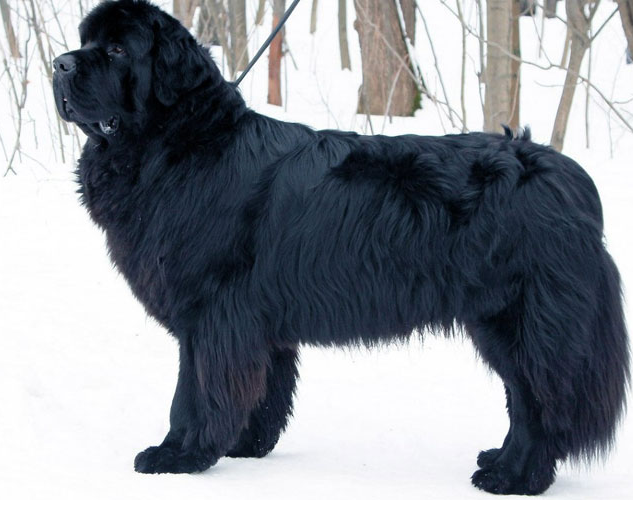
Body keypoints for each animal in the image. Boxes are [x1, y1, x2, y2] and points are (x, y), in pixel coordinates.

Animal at [52, 0, 629, 495]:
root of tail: (571, 178)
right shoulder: (255, 322)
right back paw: (502, 461)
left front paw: (179, 455)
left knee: (538, 402)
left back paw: (515, 479)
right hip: (496, 320)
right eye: (85, 42)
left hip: (525, 322)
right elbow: (262, 389)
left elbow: (192, 393)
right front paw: (244, 445)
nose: (58, 64)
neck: (181, 145)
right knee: (522, 400)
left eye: (117, 50)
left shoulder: (212, 314)